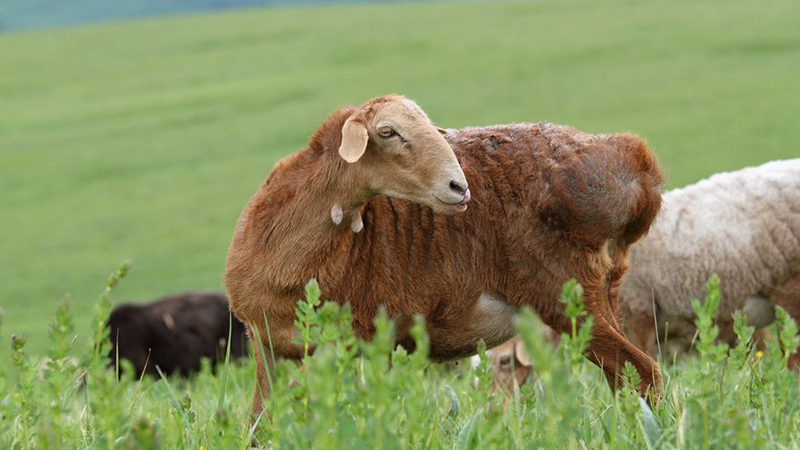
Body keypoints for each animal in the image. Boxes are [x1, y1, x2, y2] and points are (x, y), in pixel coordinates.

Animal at [223, 93, 664, 416]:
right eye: (387, 131)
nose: (459, 187)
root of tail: (632, 161)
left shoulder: (346, 342)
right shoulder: (264, 342)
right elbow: (260, 421)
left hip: (569, 297)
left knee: (645, 373)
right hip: (605, 292)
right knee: (623, 378)